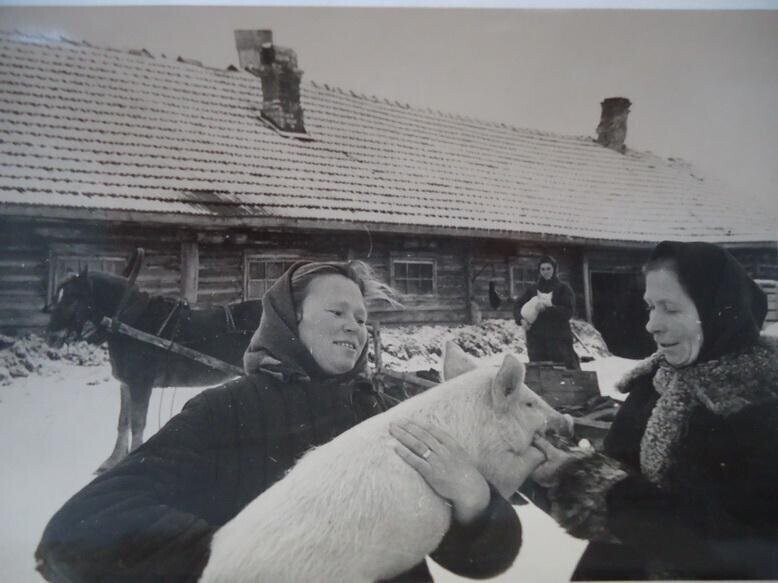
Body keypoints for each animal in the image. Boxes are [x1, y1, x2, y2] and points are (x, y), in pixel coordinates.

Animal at [47, 270, 260, 474]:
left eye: (73, 297)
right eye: (58, 296)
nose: (51, 337)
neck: (129, 321)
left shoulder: (141, 384)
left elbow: (137, 424)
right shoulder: (126, 384)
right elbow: (123, 422)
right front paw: (112, 461)